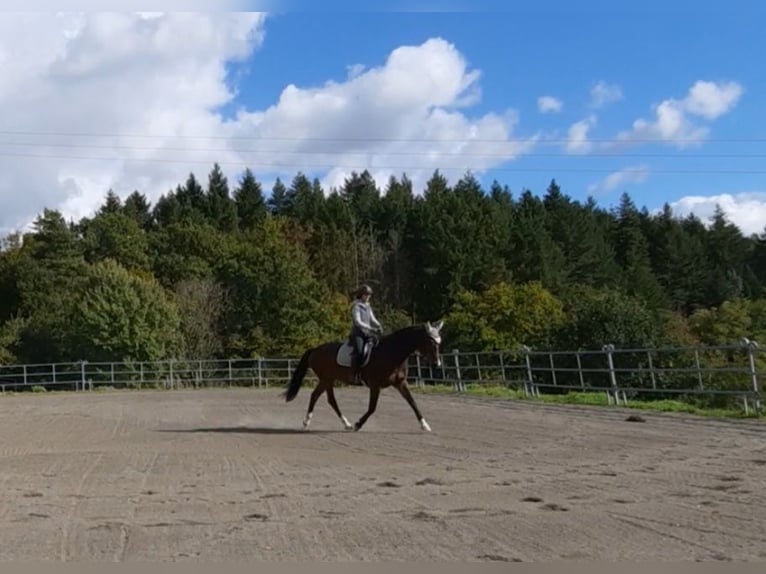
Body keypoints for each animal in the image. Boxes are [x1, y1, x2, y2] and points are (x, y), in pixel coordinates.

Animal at [283, 321, 444, 432]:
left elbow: (412, 402)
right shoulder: (375, 385)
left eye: (439, 342)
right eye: (431, 341)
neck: (391, 353)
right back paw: (308, 422)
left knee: (327, 399)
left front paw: (425, 425)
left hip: (328, 380)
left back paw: (345, 424)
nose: (437, 364)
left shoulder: (400, 383)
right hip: (326, 379)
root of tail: (315, 349)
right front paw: (358, 424)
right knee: (319, 397)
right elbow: (372, 408)